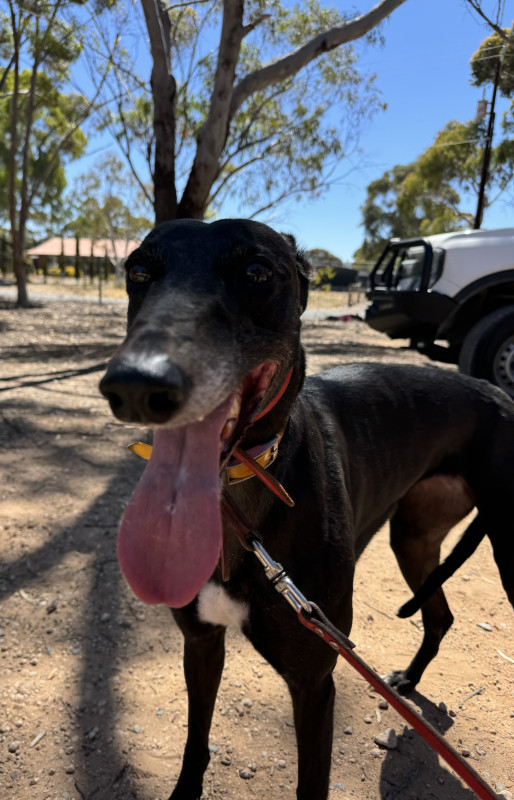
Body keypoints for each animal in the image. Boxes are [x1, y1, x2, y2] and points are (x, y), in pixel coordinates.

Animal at [99, 218, 514, 800]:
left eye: (256, 271)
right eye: (138, 270)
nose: (136, 384)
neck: (239, 507)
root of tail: (499, 396)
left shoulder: (315, 683)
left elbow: (310, 784)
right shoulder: (201, 643)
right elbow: (195, 744)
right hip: (413, 536)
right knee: (440, 613)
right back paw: (408, 681)